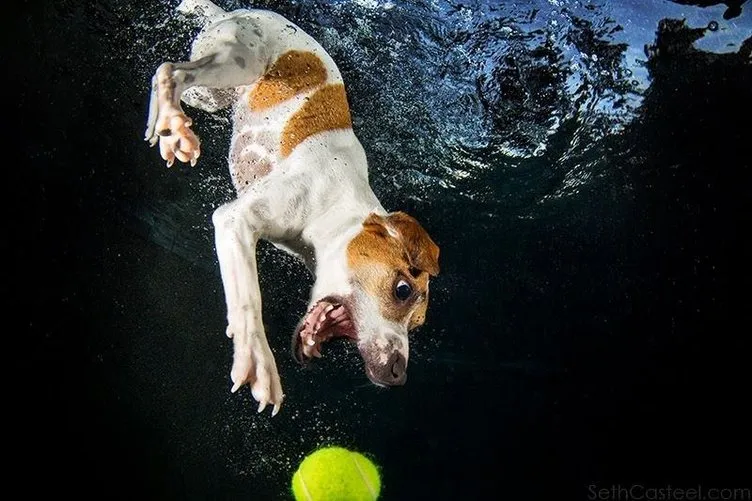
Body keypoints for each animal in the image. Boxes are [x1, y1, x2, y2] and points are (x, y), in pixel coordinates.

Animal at [145, 0, 440, 414]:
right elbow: (249, 298)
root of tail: (236, 10)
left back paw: (170, 127)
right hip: (238, 59)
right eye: (402, 290)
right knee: (172, 71)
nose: (398, 374)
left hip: (212, 93)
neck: (337, 205)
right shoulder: (234, 219)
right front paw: (257, 358)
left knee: (168, 71)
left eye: (416, 326)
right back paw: (174, 126)